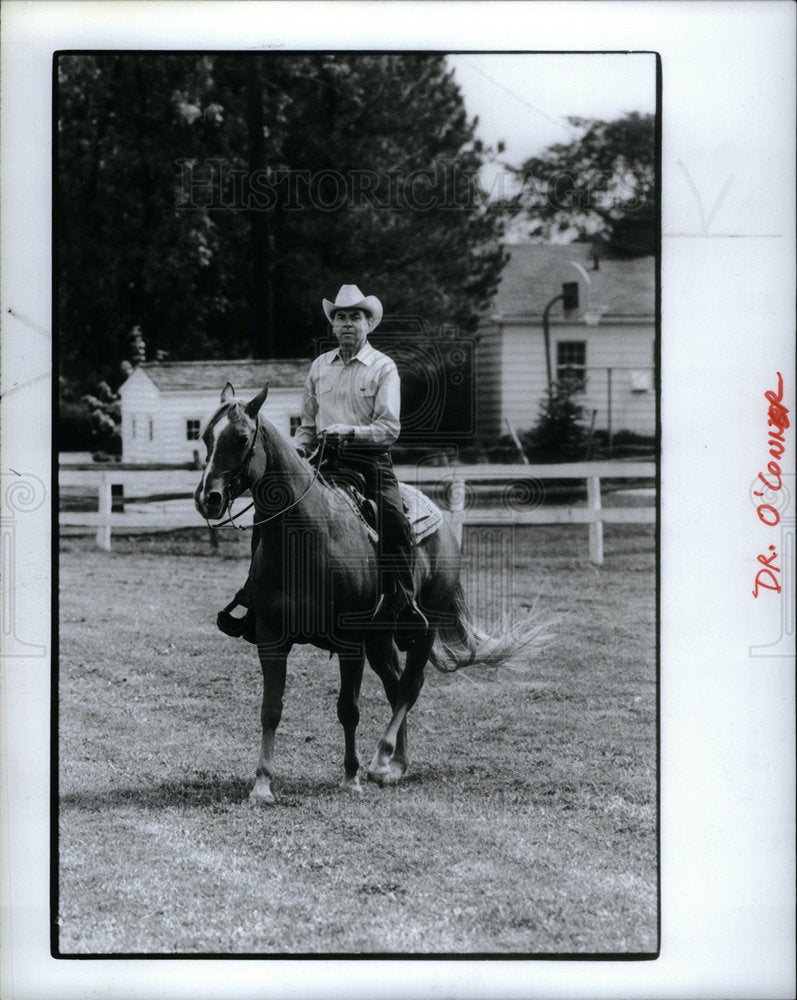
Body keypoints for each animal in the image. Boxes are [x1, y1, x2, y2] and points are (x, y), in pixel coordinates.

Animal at [193, 382, 536, 804]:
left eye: (241, 438)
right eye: (206, 437)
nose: (207, 498)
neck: (309, 536)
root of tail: (442, 525)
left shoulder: (349, 639)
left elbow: (348, 708)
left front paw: (350, 777)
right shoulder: (273, 638)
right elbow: (270, 708)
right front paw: (262, 783)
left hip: (423, 627)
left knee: (409, 686)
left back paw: (380, 760)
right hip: (380, 638)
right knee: (394, 684)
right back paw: (397, 765)